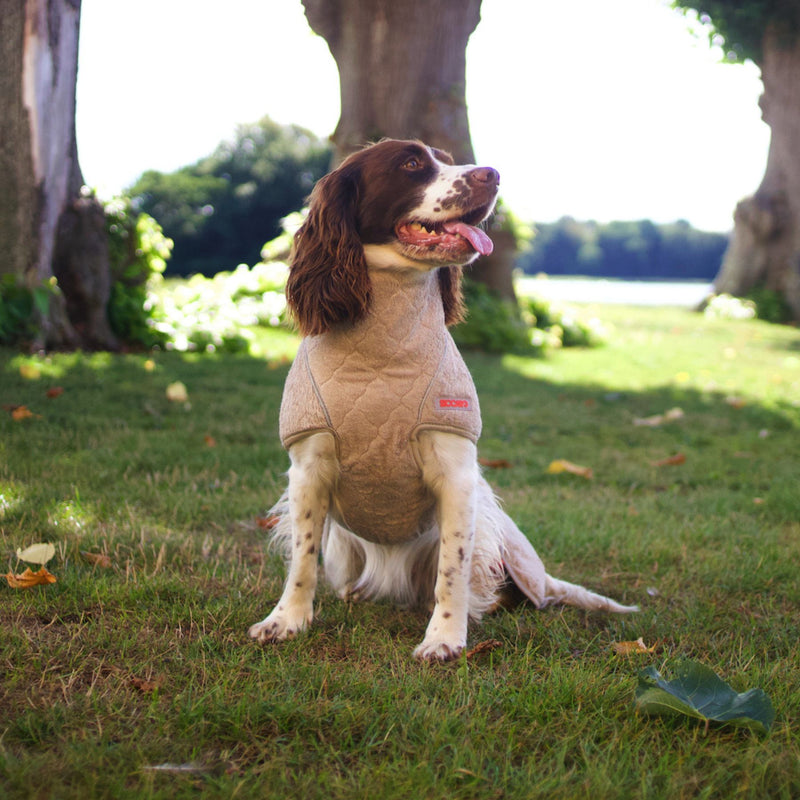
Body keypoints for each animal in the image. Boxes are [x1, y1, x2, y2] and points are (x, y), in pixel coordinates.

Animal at [250, 139, 636, 664]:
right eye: (412, 163)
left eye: (447, 159)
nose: (493, 174)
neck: (383, 353)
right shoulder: (308, 469)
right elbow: (302, 559)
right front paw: (286, 620)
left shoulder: (456, 475)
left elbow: (451, 571)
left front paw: (445, 639)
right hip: (346, 551)